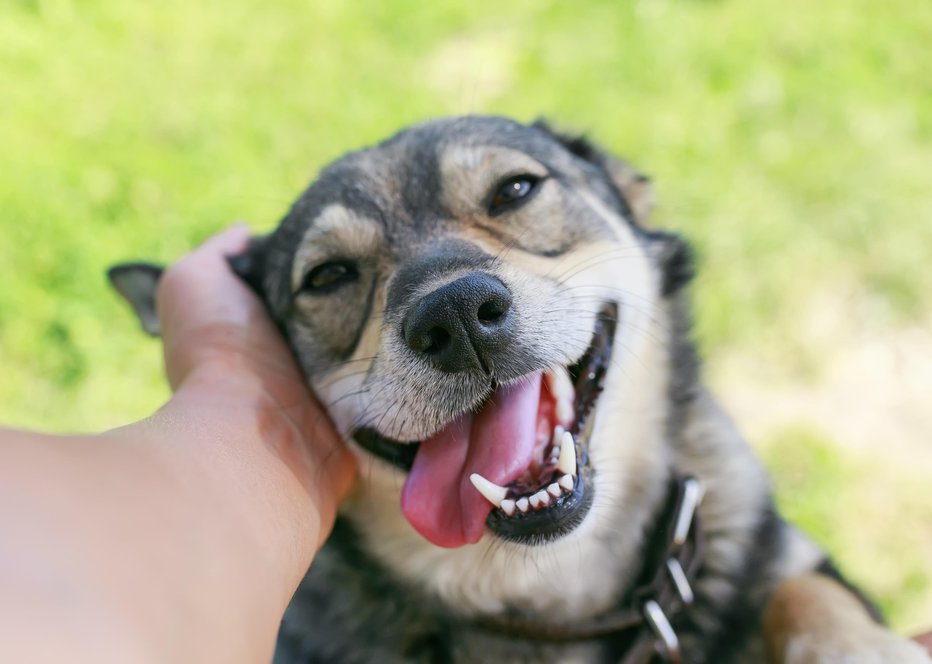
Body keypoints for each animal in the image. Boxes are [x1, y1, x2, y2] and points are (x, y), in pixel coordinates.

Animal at [107, 116, 924, 660]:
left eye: (516, 190)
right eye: (329, 276)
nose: (456, 314)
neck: (552, 593)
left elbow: (806, 592)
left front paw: (861, 649)